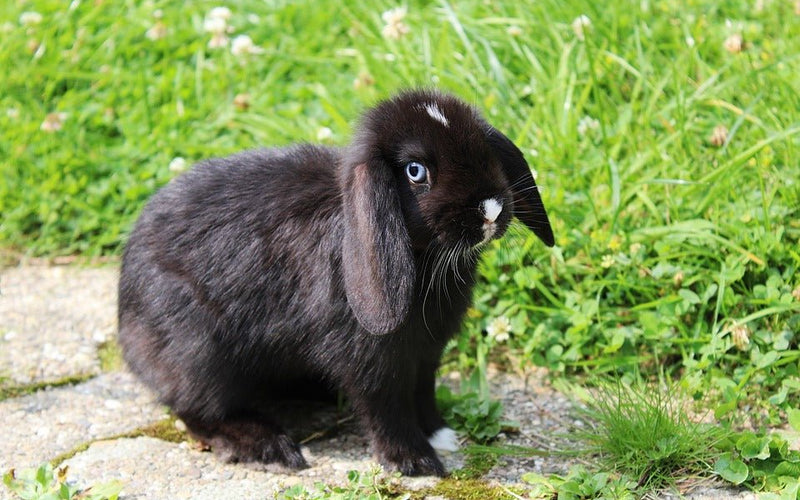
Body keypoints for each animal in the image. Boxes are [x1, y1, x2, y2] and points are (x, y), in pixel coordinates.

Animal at [119, 90, 552, 476]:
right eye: (415, 171)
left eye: (483, 147)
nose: (491, 209)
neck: (424, 257)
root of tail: (125, 322)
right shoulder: (370, 361)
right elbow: (386, 407)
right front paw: (414, 461)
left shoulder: (426, 352)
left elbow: (422, 390)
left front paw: (441, 434)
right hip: (199, 353)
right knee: (198, 410)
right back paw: (267, 447)